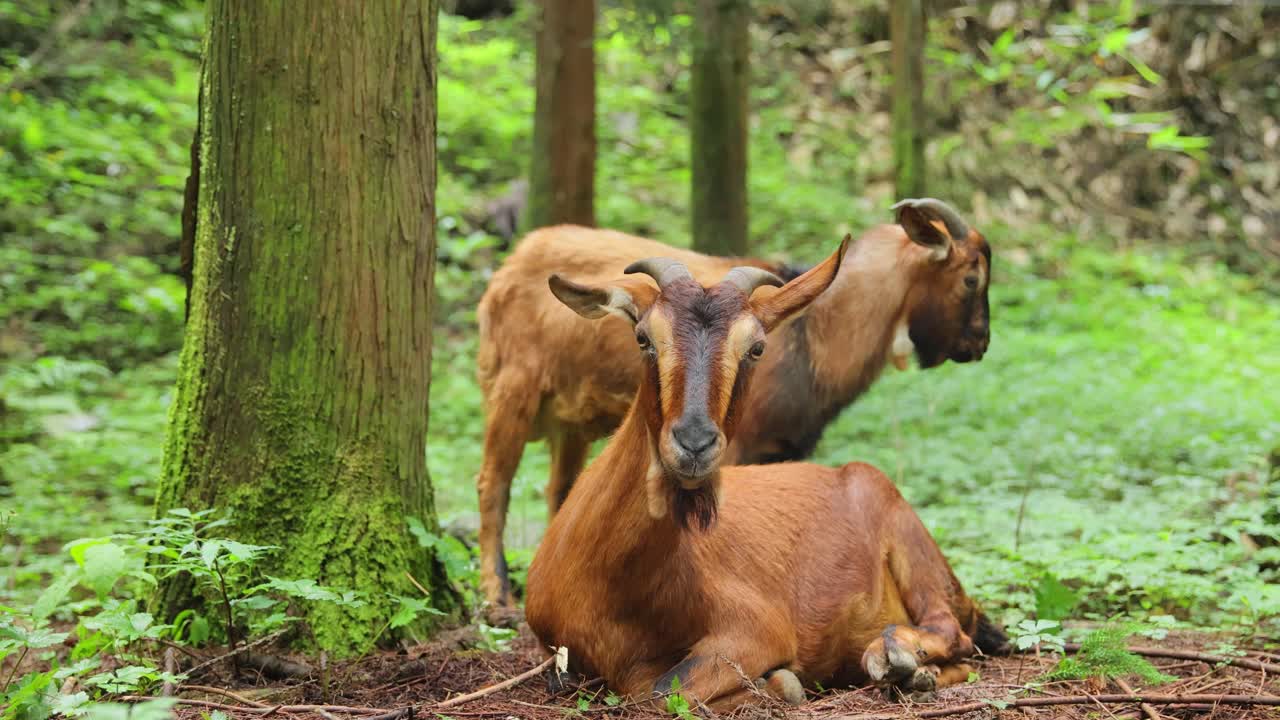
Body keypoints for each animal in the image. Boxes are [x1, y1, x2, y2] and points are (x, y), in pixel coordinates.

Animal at [476, 196, 993, 604]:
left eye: (756, 347)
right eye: (972, 278)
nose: (979, 344)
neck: (816, 333)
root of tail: (514, 260)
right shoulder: (739, 447)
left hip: (571, 421)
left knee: (559, 489)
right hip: (513, 389)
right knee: (492, 483)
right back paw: (497, 596)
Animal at [524, 240, 1003, 707]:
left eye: (756, 348)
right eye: (643, 337)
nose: (694, 442)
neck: (611, 584)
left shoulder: (756, 628)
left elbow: (667, 691)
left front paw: (781, 683)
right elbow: (648, 690)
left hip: (914, 550)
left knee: (953, 632)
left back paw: (897, 656)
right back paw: (913, 674)